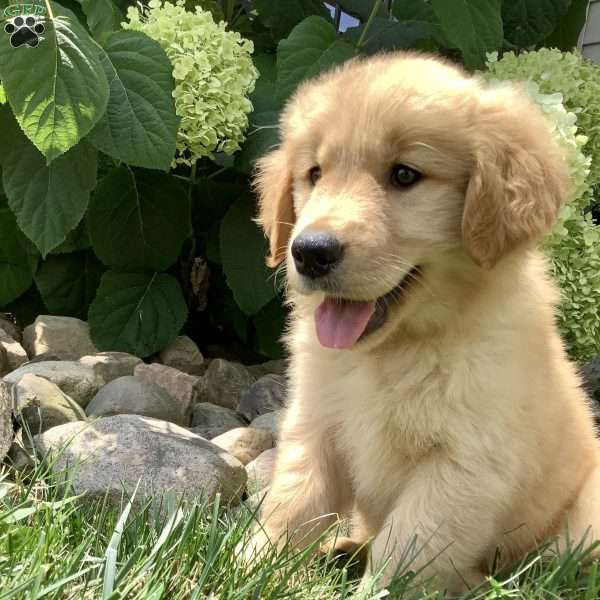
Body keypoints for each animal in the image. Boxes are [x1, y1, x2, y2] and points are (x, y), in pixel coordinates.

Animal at [246, 52, 600, 596]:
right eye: (314, 173)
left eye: (405, 175)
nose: (310, 252)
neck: (392, 352)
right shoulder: (315, 425)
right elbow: (292, 506)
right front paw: (247, 567)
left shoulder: (462, 466)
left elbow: (402, 549)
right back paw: (343, 549)